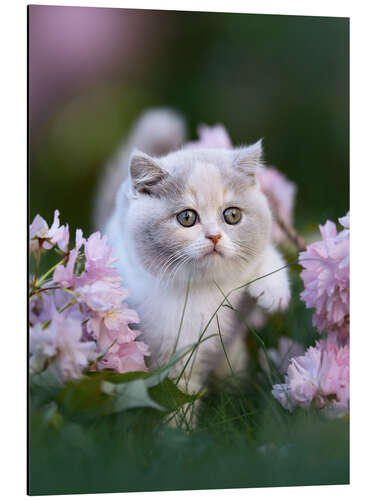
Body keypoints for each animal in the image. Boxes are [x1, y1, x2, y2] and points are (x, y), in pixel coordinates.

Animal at [96, 109, 290, 426]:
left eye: (232, 215)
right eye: (187, 218)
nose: (214, 236)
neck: (203, 290)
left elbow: (263, 253)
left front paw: (274, 291)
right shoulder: (171, 350)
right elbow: (177, 392)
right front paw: (179, 432)